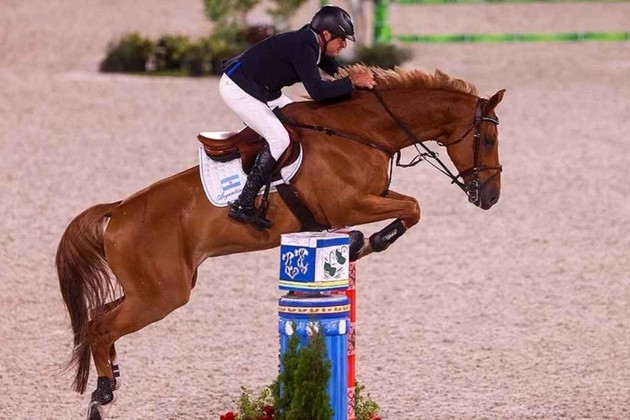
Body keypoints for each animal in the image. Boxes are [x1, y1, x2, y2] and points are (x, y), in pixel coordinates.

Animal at [56, 65, 505, 419]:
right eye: (487, 140)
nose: (490, 197)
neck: (362, 132)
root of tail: (118, 211)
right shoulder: (349, 204)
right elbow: (413, 207)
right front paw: (366, 241)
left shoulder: (369, 198)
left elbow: (411, 207)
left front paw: (360, 242)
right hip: (162, 296)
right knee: (101, 327)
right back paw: (103, 392)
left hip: (153, 289)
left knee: (98, 319)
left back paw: (109, 382)